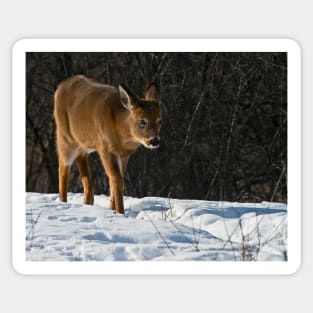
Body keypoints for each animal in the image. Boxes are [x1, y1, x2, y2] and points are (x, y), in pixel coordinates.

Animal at [53, 74, 161, 213]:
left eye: (159, 121)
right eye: (142, 121)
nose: (154, 140)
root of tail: (61, 86)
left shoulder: (124, 155)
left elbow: (116, 180)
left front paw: (113, 209)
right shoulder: (105, 149)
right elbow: (117, 180)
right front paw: (120, 212)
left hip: (84, 143)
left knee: (82, 163)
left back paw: (87, 202)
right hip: (65, 137)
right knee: (63, 167)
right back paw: (63, 202)